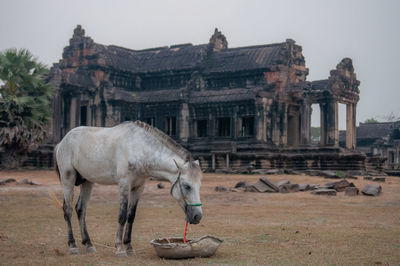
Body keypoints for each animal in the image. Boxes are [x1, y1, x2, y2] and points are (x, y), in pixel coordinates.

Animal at [54, 120, 202, 256]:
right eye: (187, 186)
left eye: (199, 185)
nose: (197, 216)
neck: (139, 148)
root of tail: (62, 142)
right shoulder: (124, 184)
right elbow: (122, 215)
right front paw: (119, 248)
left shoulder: (138, 187)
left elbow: (131, 216)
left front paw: (129, 247)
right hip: (68, 179)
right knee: (68, 210)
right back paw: (73, 246)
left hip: (88, 182)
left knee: (81, 209)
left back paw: (89, 244)